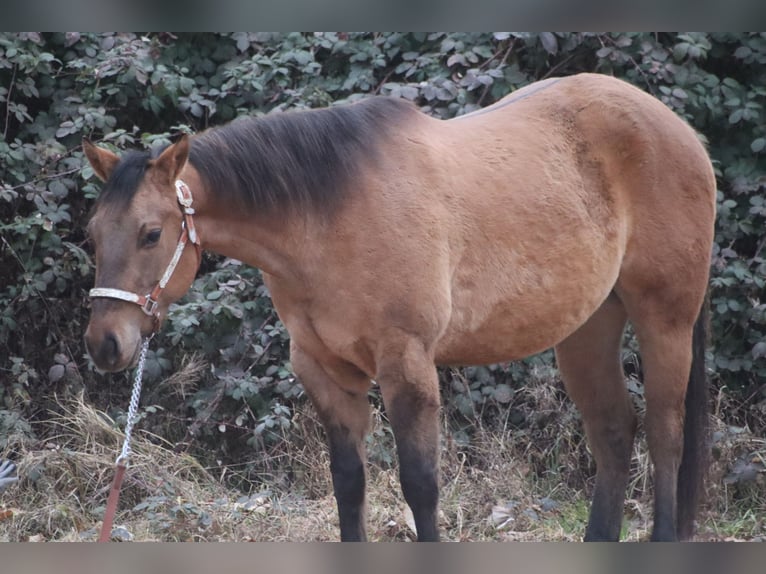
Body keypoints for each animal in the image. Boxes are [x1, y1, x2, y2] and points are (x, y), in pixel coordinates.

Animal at [83, 73, 715, 542]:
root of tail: (683, 132)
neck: (326, 217)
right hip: (587, 329)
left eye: (150, 233)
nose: (104, 343)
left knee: (665, 432)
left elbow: (420, 485)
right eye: (92, 233)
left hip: (665, 319)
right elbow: (349, 483)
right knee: (614, 431)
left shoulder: (407, 364)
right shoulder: (324, 371)